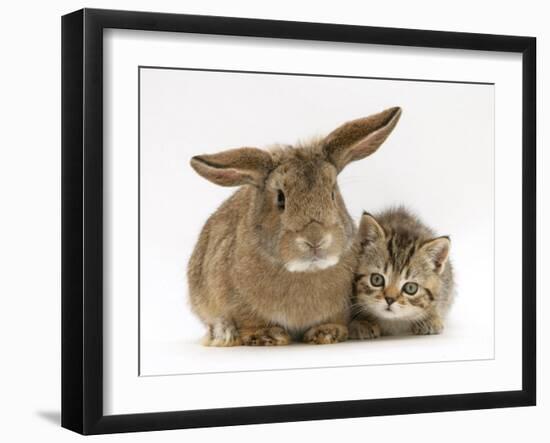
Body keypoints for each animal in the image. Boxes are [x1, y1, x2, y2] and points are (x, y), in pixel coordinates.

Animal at [188, 106, 404, 346]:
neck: (306, 270)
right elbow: (249, 322)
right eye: (281, 199)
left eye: (332, 193)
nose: (315, 239)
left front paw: (327, 332)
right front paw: (267, 335)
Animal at [352, 208, 454, 340]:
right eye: (376, 279)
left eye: (410, 288)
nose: (390, 299)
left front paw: (430, 319)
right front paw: (362, 322)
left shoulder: (446, 286)